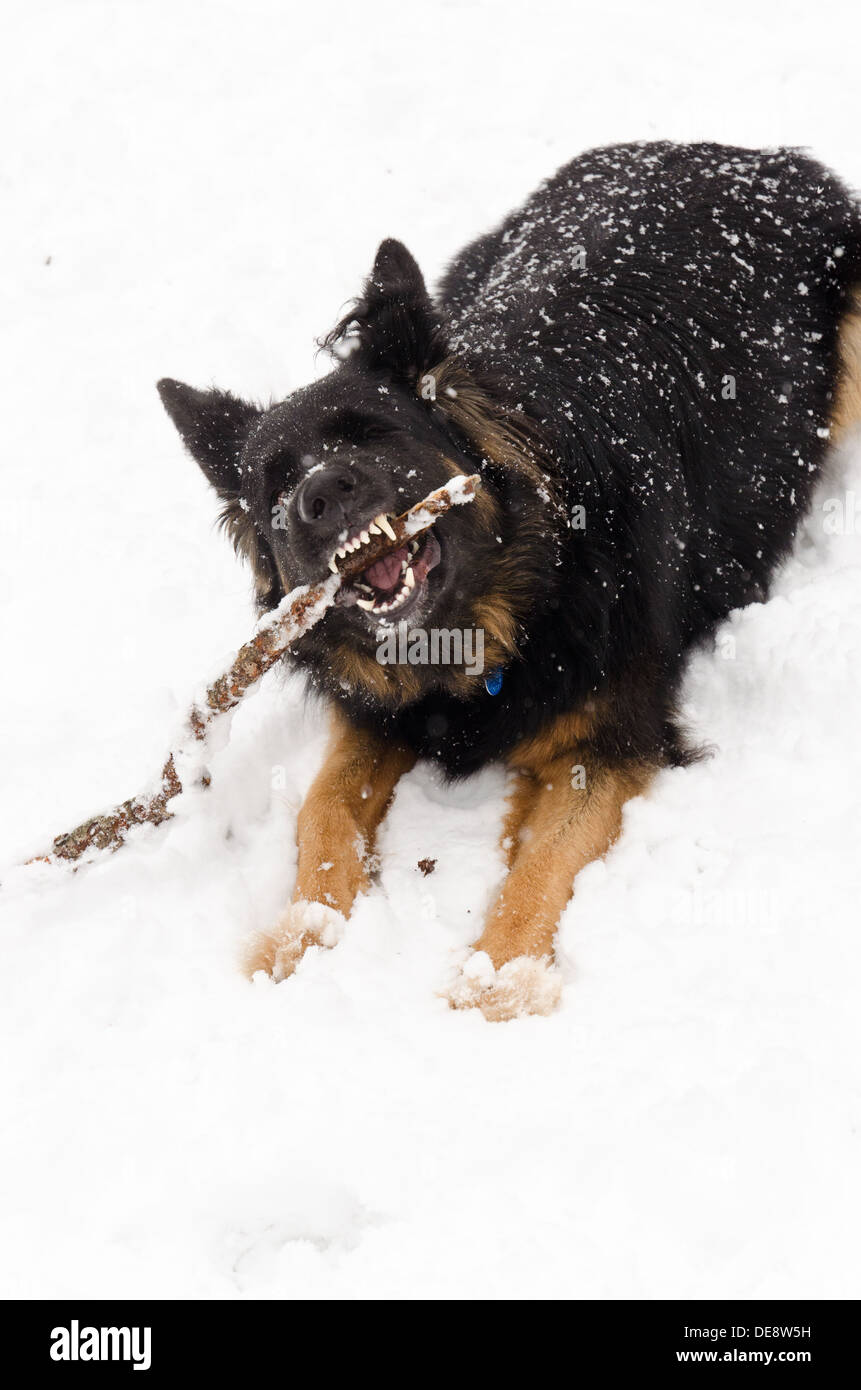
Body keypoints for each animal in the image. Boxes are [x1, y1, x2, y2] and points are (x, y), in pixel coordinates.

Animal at [156, 141, 861, 1023]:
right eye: (275, 488)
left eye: (373, 435)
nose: (320, 496)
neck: (508, 605)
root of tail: (743, 154)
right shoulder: (376, 710)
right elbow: (322, 810)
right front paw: (301, 937)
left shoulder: (609, 739)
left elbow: (542, 862)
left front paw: (497, 981)